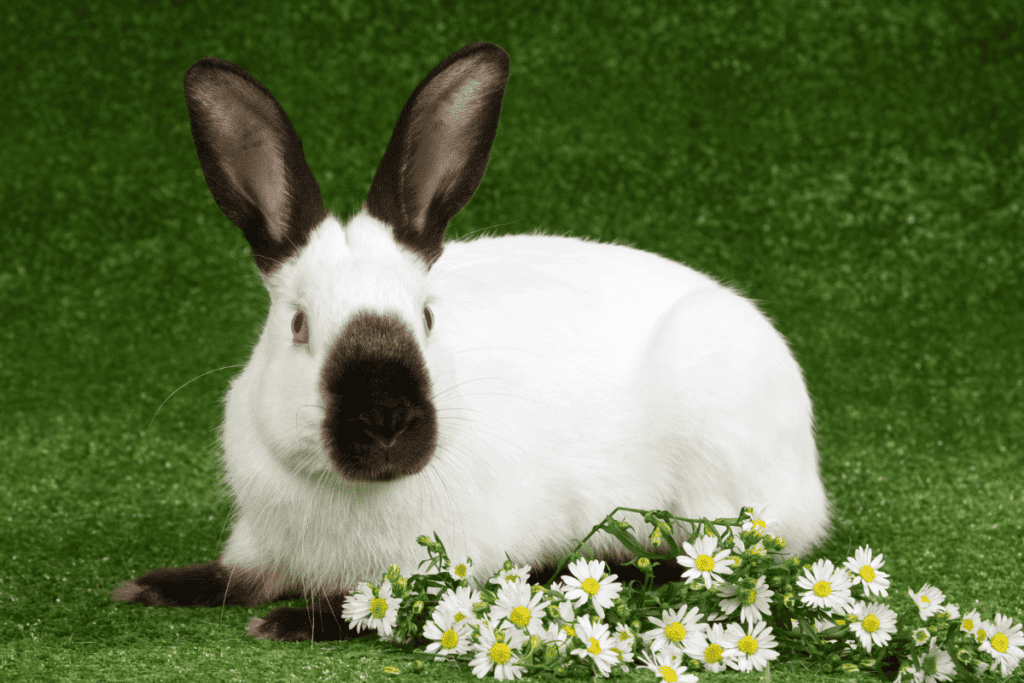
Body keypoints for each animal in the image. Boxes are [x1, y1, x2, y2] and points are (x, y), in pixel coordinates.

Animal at [112, 41, 831, 641]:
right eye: (298, 326)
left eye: (428, 318)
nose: (386, 421)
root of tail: (811, 481)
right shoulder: (261, 544)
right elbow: (232, 577)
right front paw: (147, 587)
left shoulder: (452, 560)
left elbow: (372, 606)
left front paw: (289, 622)